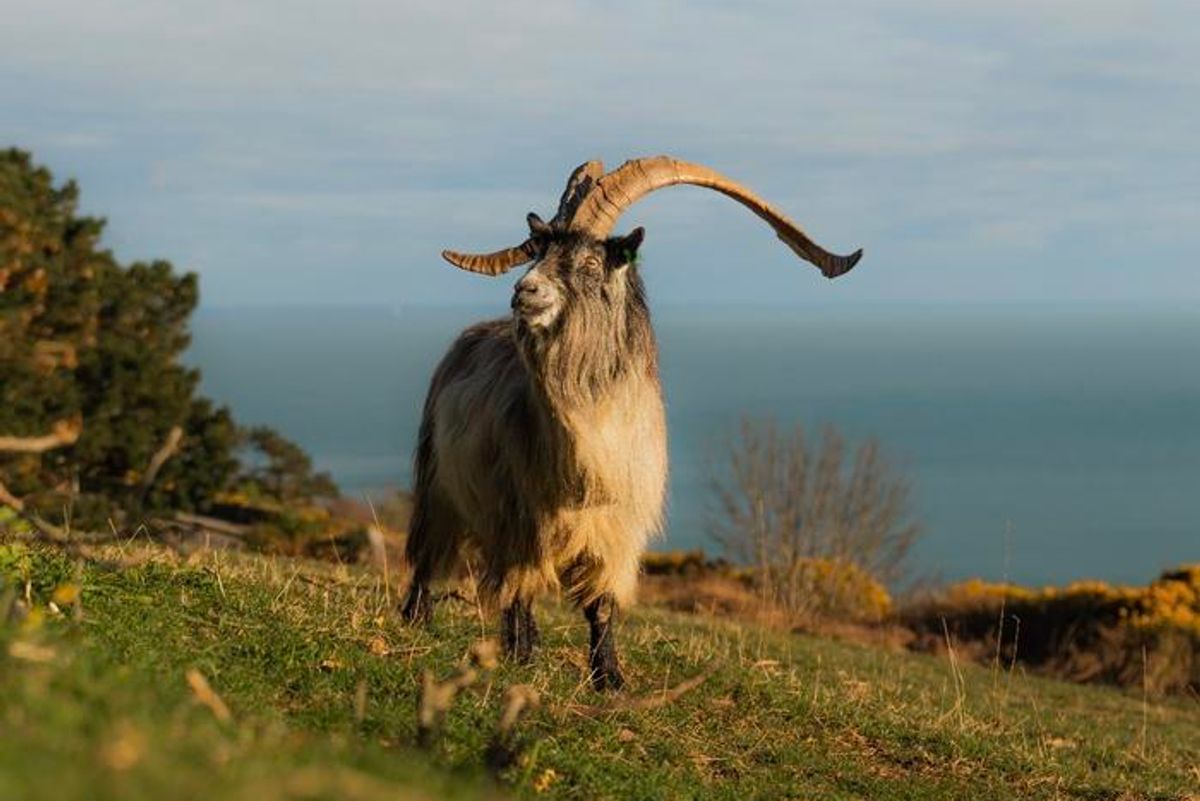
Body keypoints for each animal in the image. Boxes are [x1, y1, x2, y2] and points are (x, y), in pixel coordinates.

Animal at [401, 156, 862, 690]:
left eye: (591, 262)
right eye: (539, 253)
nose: (524, 291)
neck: (590, 438)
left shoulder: (617, 529)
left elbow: (601, 605)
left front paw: (610, 679)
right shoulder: (521, 517)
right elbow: (521, 590)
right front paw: (525, 658)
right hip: (438, 485)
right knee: (433, 556)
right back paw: (420, 619)